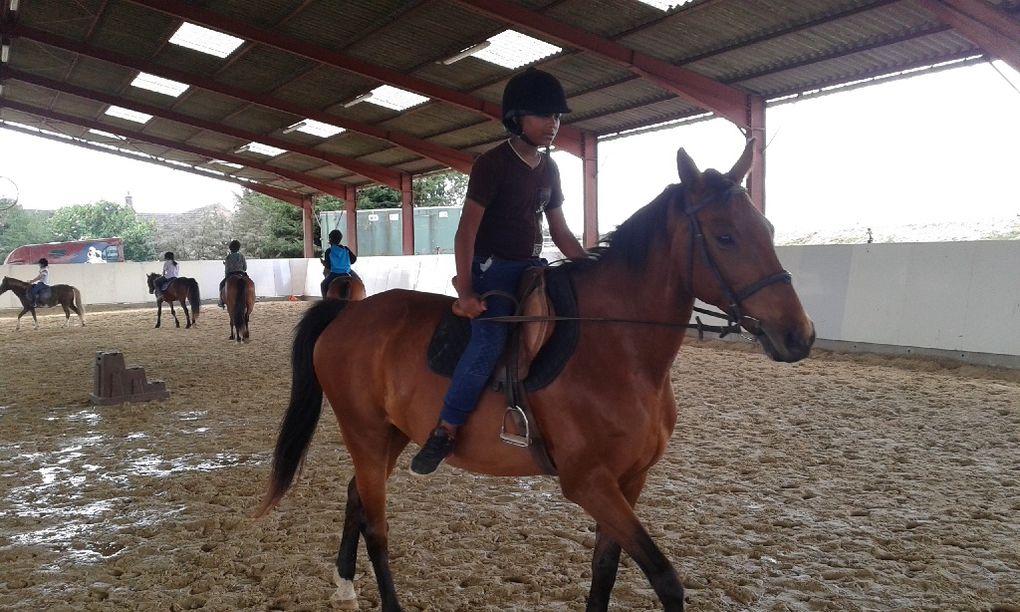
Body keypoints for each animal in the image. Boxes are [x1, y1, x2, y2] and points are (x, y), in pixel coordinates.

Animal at [259, 141, 816, 612]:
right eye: (725, 236)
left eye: (767, 230)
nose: (799, 335)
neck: (616, 350)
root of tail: (348, 314)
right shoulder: (588, 482)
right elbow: (664, 578)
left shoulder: (628, 481)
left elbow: (604, 569)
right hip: (367, 434)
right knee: (376, 525)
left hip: (391, 436)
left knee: (356, 495)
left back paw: (344, 586)